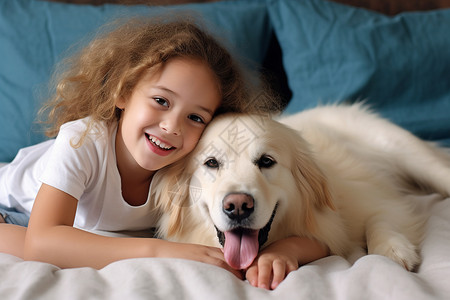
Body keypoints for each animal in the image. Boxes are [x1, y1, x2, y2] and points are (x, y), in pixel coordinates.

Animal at [152, 104, 450, 270]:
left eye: (267, 161)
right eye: (211, 163)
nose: (237, 206)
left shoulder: (377, 197)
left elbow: (380, 217)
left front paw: (391, 249)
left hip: (405, 150)